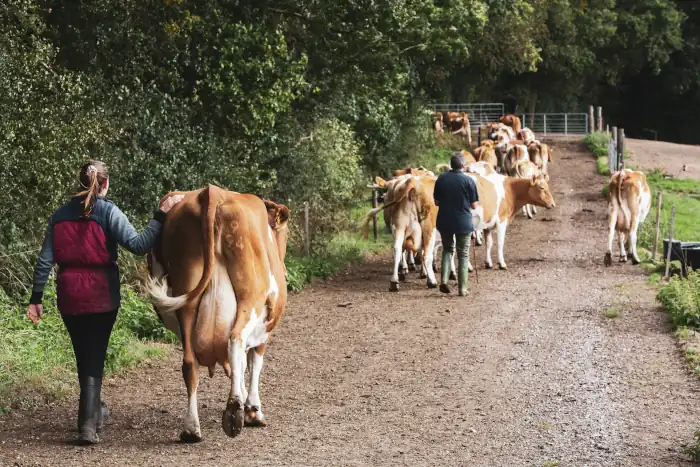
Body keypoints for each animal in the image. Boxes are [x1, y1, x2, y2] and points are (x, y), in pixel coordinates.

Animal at [145, 186, 290, 442]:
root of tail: (212, 192)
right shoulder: (265, 330)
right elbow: (254, 362)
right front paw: (253, 409)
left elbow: (240, 364)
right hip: (251, 296)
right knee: (235, 339)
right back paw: (234, 411)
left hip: (187, 297)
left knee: (190, 363)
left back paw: (191, 429)